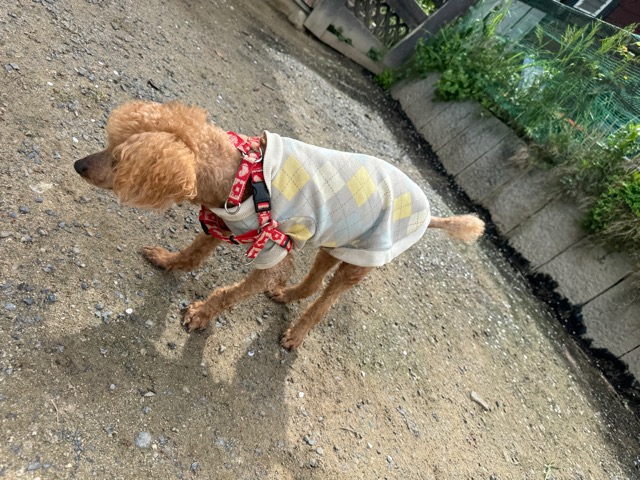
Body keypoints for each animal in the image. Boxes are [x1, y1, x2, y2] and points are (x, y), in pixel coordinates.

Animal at [74, 101, 485, 349]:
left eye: (119, 159)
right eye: (110, 144)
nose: (78, 164)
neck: (241, 176)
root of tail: (429, 214)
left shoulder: (272, 252)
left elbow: (231, 293)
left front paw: (203, 314)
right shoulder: (221, 224)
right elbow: (192, 255)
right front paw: (166, 260)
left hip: (361, 258)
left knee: (325, 301)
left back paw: (296, 334)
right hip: (336, 242)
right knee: (314, 282)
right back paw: (287, 296)